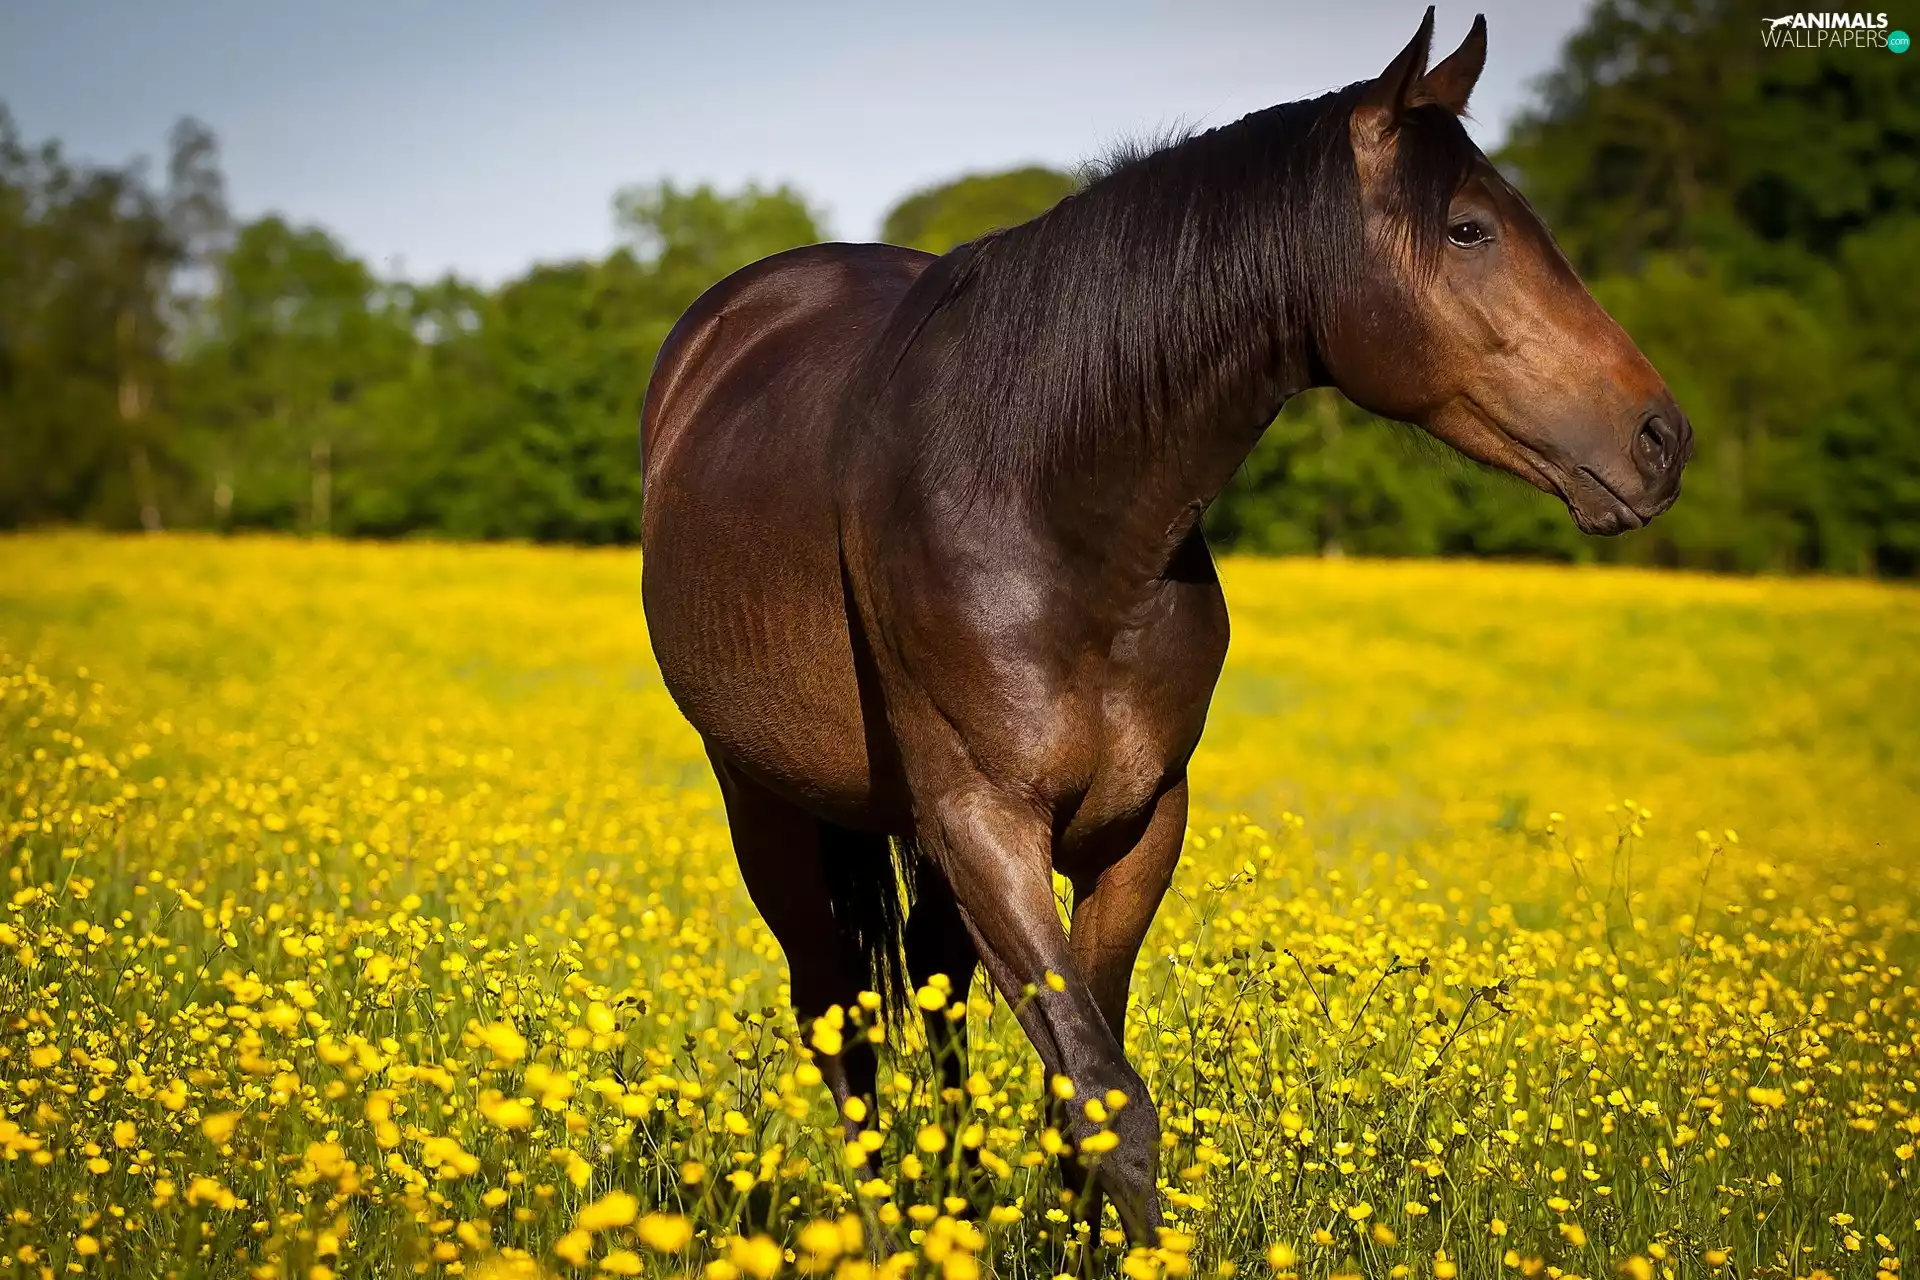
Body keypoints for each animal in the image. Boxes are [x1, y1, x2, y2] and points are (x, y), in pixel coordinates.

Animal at [639, 7, 1690, 1241]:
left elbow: (1082, 1096)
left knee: (936, 997)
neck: (1046, 503)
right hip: (766, 802)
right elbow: (1106, 1098)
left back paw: (950, 1204)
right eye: (1469, 229)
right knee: (835, 1007)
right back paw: (889, 1224)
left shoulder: (1137, 825)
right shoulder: (985, 821)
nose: (1662, 437)